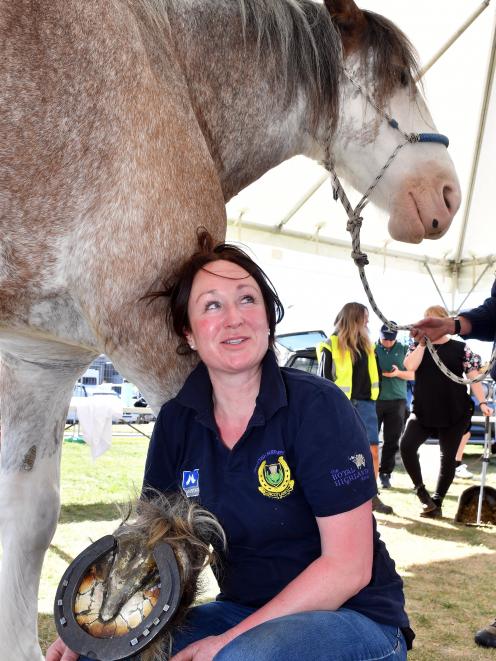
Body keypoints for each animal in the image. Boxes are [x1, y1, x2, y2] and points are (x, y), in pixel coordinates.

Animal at [0, 0, 462, 656]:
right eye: (398, 75)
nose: (446, 195)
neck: (168, 68)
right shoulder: (150, 339)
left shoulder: (40, 361)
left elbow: (31, 523)